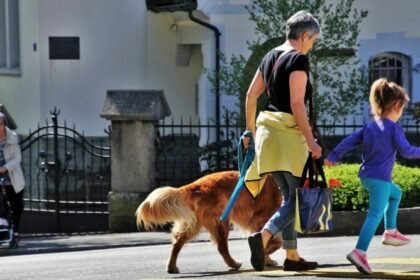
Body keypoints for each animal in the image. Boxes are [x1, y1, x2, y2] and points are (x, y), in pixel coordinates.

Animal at [137, 171, 282, 274]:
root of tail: (195, 186)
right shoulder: (262, 219)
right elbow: (274, 242)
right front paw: (264, 254)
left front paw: (266, 258)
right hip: (221, 221)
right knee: (221, 247)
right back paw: (233, 263)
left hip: (194, 224)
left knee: (178, 241)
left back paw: (171, 267)